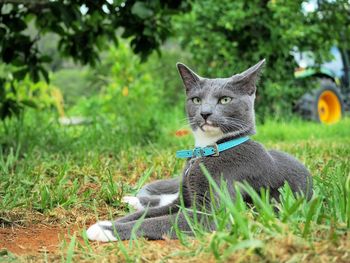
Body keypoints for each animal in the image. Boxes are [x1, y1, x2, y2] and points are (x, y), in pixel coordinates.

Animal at [86, 60, 314, 242]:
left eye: (225, 99)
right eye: (196, 99)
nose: (205, 113)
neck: (208, 150)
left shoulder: (212, 216)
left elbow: (158, 222)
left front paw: (105, 230)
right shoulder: (183, 200)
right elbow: (150, 214)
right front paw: (108, 223)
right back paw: (133, 200)